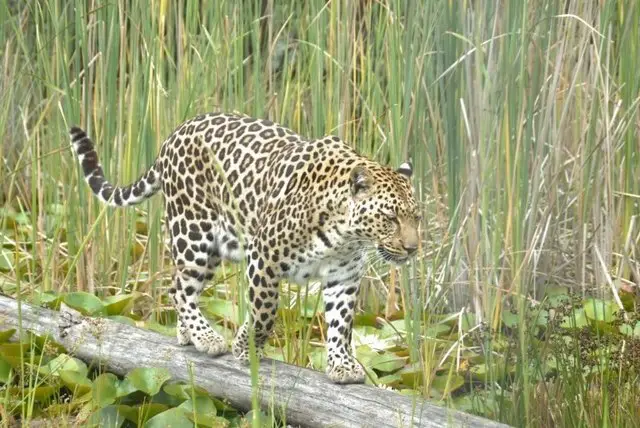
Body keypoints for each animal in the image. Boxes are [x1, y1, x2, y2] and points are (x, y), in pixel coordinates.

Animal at [71, 112, 420, 382]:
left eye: (416, 217)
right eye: (390, 218)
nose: (412, 248)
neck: (346, 234)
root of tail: (175, 134)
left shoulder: (343, 277)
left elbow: (341, 323)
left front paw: (342, 365)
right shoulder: (263, 257)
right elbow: (265, 312)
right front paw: (244, 345)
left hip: (212, 249)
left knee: (180, 285)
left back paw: (187, 334)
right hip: (193, 232)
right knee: (179, 289)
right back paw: (206, 337)